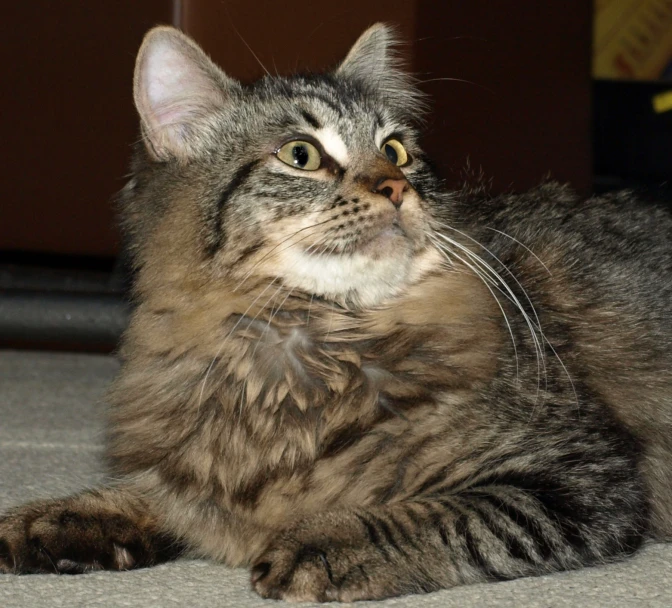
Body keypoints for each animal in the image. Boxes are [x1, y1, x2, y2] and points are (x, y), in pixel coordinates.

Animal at [1, 22, 672, 604]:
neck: (297, 346)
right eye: (300, 155)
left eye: (396, 151)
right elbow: (141, 495)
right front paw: (49, 519)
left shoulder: (580, 477)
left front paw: (322, 542)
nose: (398, 188)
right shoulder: (197, 475)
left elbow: (433, 516)